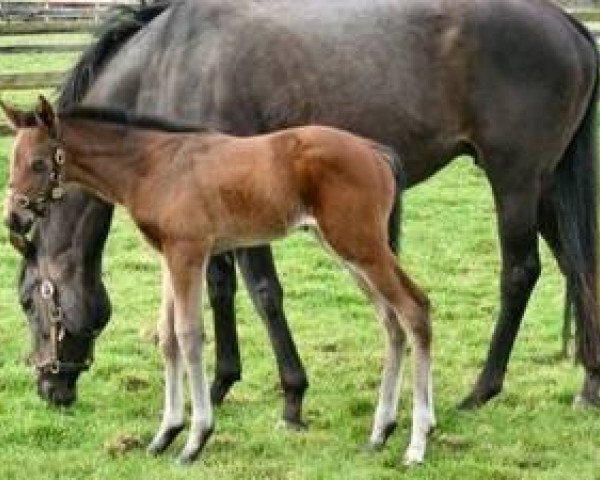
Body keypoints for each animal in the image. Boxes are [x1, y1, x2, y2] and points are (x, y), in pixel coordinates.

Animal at [0, 96, 432, 464]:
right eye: (13, 161)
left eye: (38, 163)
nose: (14, 219)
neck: (153, 164)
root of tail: (375, 150)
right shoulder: (169, 257)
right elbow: (168, 338)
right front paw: (165, 434)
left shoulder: (188, 252)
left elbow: (190, 335)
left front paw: (196, 439)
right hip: (346, 250)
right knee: (391, 321)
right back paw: (380, 432)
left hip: (360, 246)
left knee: (415, 309)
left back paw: (416, 443)